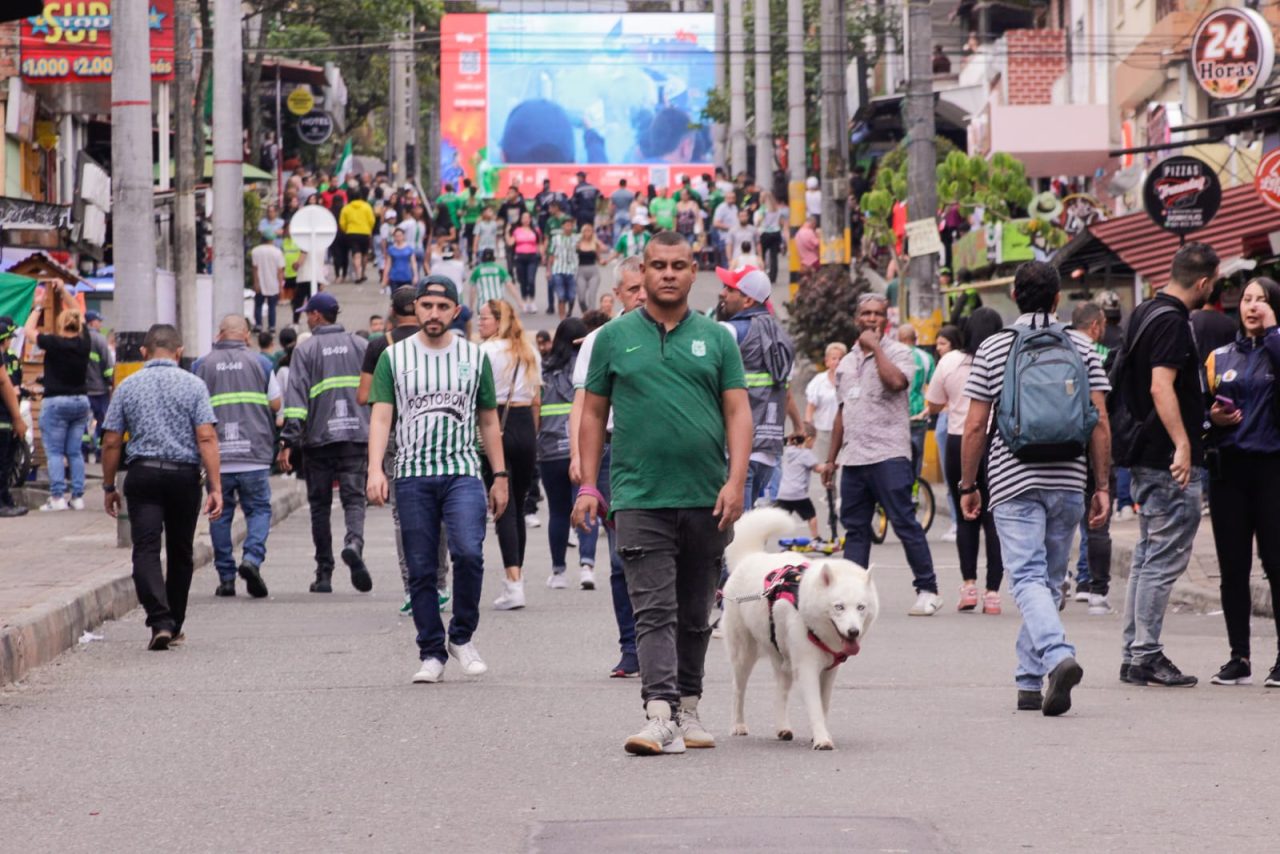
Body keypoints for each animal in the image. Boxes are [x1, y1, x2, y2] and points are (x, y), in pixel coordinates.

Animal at [721, 507, 880, 747]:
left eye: (861, 607)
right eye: (839, 607)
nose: (853, 632)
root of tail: (750, 557)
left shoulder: (829, 672)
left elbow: (824, 706)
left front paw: (820, 734)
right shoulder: (806, 668)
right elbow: (815, 707)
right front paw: (822, 739)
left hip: (781, 658)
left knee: (780, 693)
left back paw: (782, 728)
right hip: (744, 655)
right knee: (737, 690)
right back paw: (738, 725)